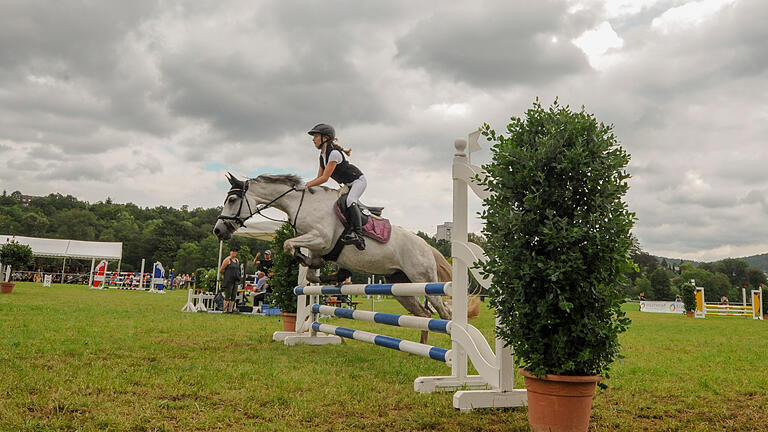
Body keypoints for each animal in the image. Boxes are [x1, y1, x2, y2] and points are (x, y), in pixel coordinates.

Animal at [213, 173, 452, 344]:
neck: (301, 204)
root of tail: (427, 246)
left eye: (232, 199)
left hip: (423, 280)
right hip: (401, 286)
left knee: (443, 312)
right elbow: (310, 272)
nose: (218, 230)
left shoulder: (320, 238)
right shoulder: (317, 247)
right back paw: (421, 346)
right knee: (423, 314)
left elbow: (288, 245)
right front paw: (331, 274)